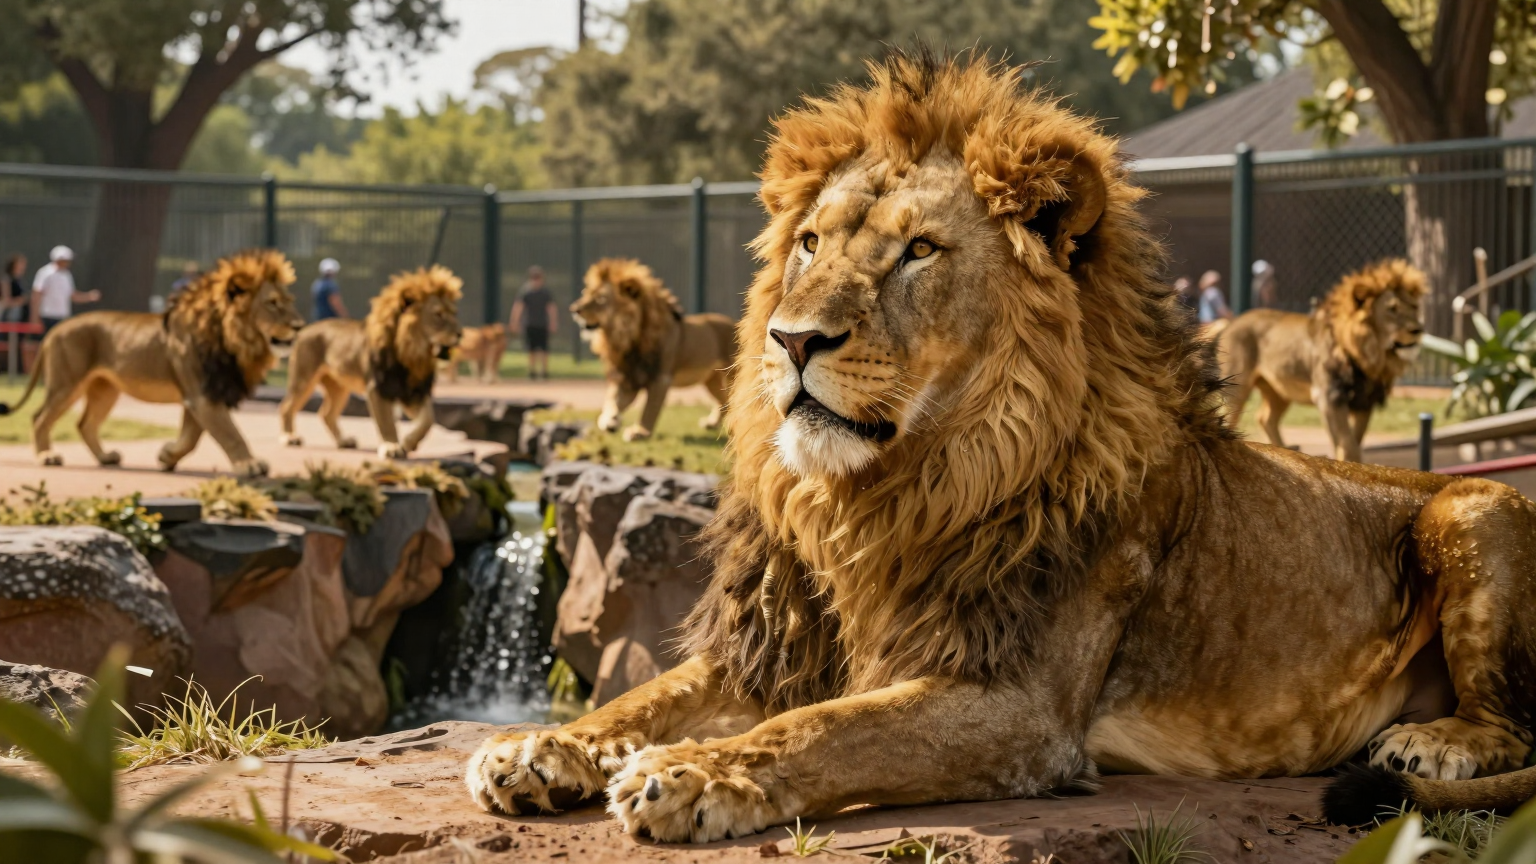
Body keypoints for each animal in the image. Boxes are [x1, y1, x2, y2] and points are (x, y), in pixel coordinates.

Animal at [0, 249, 302, 477]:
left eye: (289, 301)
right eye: (272, 303)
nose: (299, 326)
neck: (232, 338)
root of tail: (55, 329)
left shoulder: (201, 394)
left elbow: (192, 437)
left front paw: (167, 456)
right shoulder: (202, 396)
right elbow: (230, 432)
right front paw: (248, 464)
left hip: (104, 389)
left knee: (85, 424)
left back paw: (105, 457)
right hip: (67, 383)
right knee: (40, 417)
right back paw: (47, 456)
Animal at [279, 266, 462, 458]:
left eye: (454, 313)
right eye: (438, 315)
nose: (460, 333)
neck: (412, 356)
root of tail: (304, 330)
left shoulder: (413, 392)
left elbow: (428, 420)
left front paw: (408, 443)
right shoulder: (378, 388)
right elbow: (386, 422)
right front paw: (391, 446)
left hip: (339, 387)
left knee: (326, 413)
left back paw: (343, 441)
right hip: (303, 379)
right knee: (286, 407)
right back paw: (289, 437)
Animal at [571, 258, 736, 441]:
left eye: (601, 299)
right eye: (585, 293)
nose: (574, 309)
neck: (629, 339)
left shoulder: (660, 378)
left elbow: (649, 409)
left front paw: (640, 432)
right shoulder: (627, 377)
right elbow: (612, 399)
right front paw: (609, 420)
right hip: (711, 379)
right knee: (724, 400)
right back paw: (712, 423)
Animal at [1220, 259, 1427, 462]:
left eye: (1414, 307)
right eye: (1392, 309)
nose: (1417, 330)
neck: (1368, 354)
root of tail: (1231, 323)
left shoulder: (1364, 403)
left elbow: (1355, 442)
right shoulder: (1329, 398)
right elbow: (1348, 445)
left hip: (1279, 390)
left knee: (1265, 418)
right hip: (1236, 390)